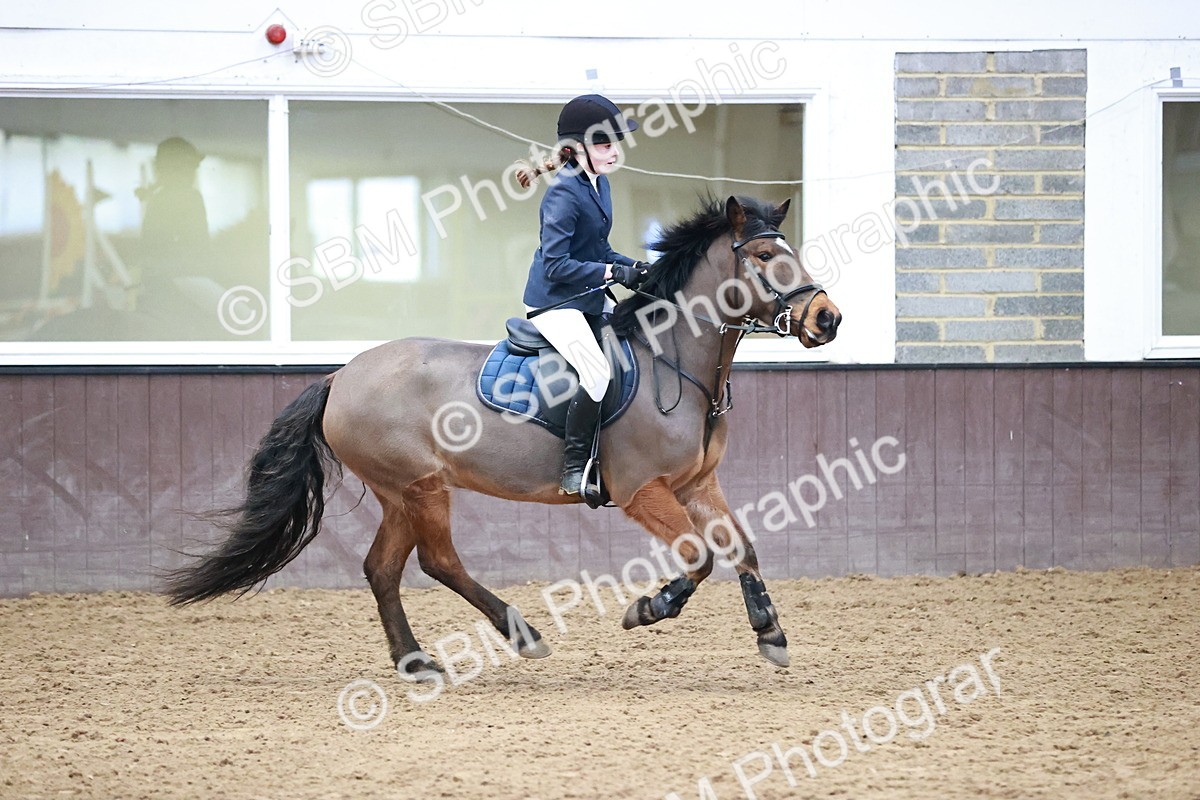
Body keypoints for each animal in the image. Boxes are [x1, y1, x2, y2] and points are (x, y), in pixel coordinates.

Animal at [164, 195, 842, 676]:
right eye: (763, 257)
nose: (827, 318)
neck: (670, 359)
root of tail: (340, 375)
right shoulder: (641, 490)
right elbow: (699, 555)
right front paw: (647, 609)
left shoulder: (698, 484)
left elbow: (743, 547)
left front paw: (771, 633)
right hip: (420, 486)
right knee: (436, 561)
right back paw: (522, 634)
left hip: (399, 493)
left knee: (382, 568)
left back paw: (416, 661)